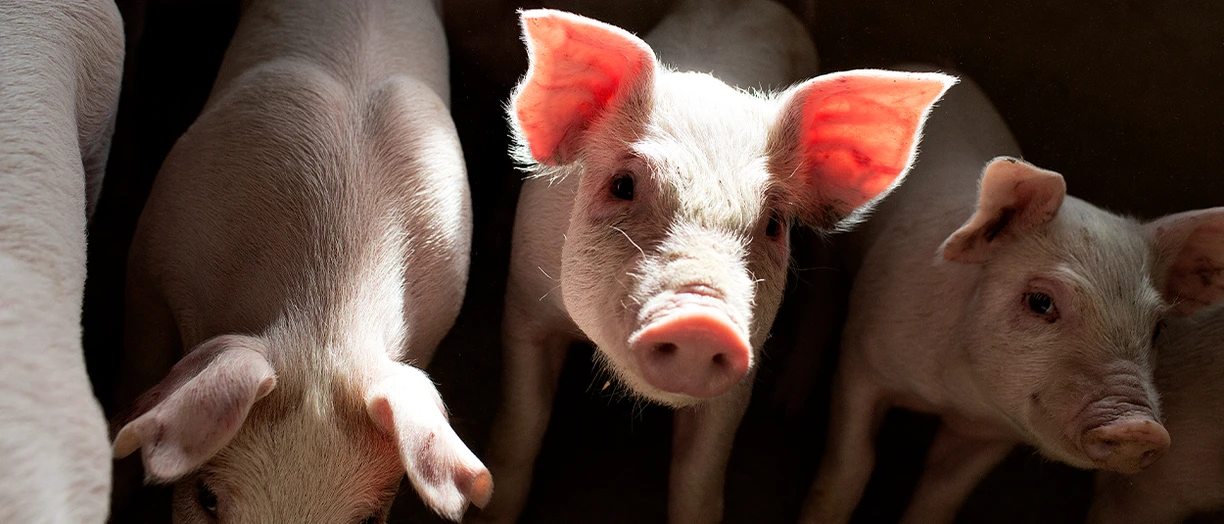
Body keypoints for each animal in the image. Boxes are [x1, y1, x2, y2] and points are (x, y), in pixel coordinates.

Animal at [472, 4, 956, 523]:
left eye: (773, 224)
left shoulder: (745, 364)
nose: (701, 322)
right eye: (623, 185)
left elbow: (698, 483)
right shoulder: (525, 307)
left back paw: (788, 406)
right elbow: (521, 428)